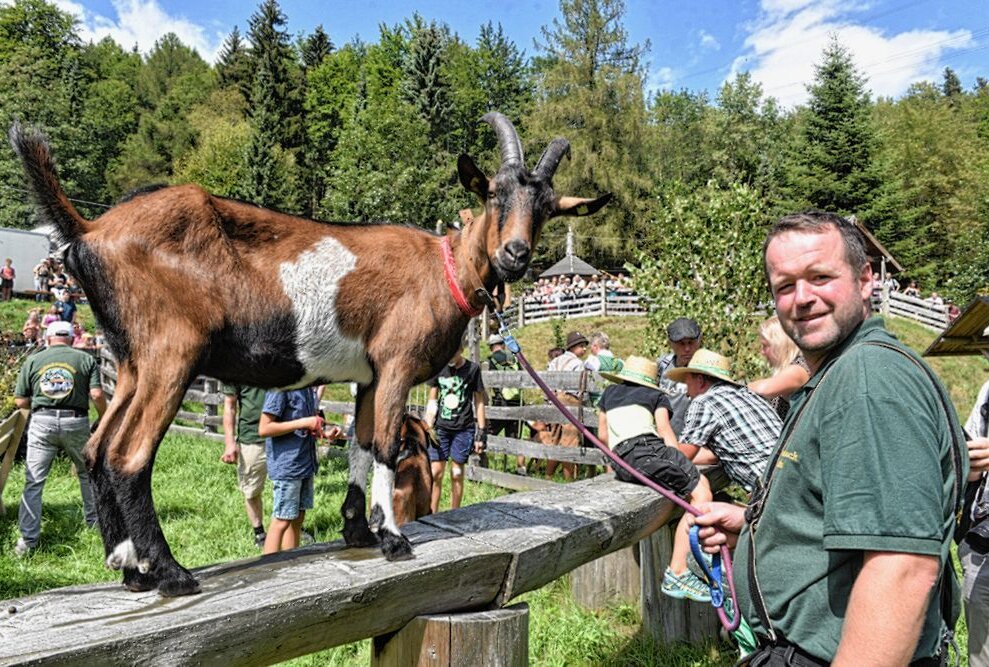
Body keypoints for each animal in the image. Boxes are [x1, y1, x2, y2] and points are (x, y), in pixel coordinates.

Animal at [7, 112, 608, 596]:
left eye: (547, 208)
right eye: (493, 195)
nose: (516, 254)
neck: (444, 270)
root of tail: (89, 229)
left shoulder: (369, 375)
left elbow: (361, 443)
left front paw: (358, 530)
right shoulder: (396, 364)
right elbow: (388, 445)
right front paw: (394, 539)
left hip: (131, 361)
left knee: (95, 448)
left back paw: (130, 569)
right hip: (170, 354)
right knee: (127, 455)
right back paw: (172, 574)